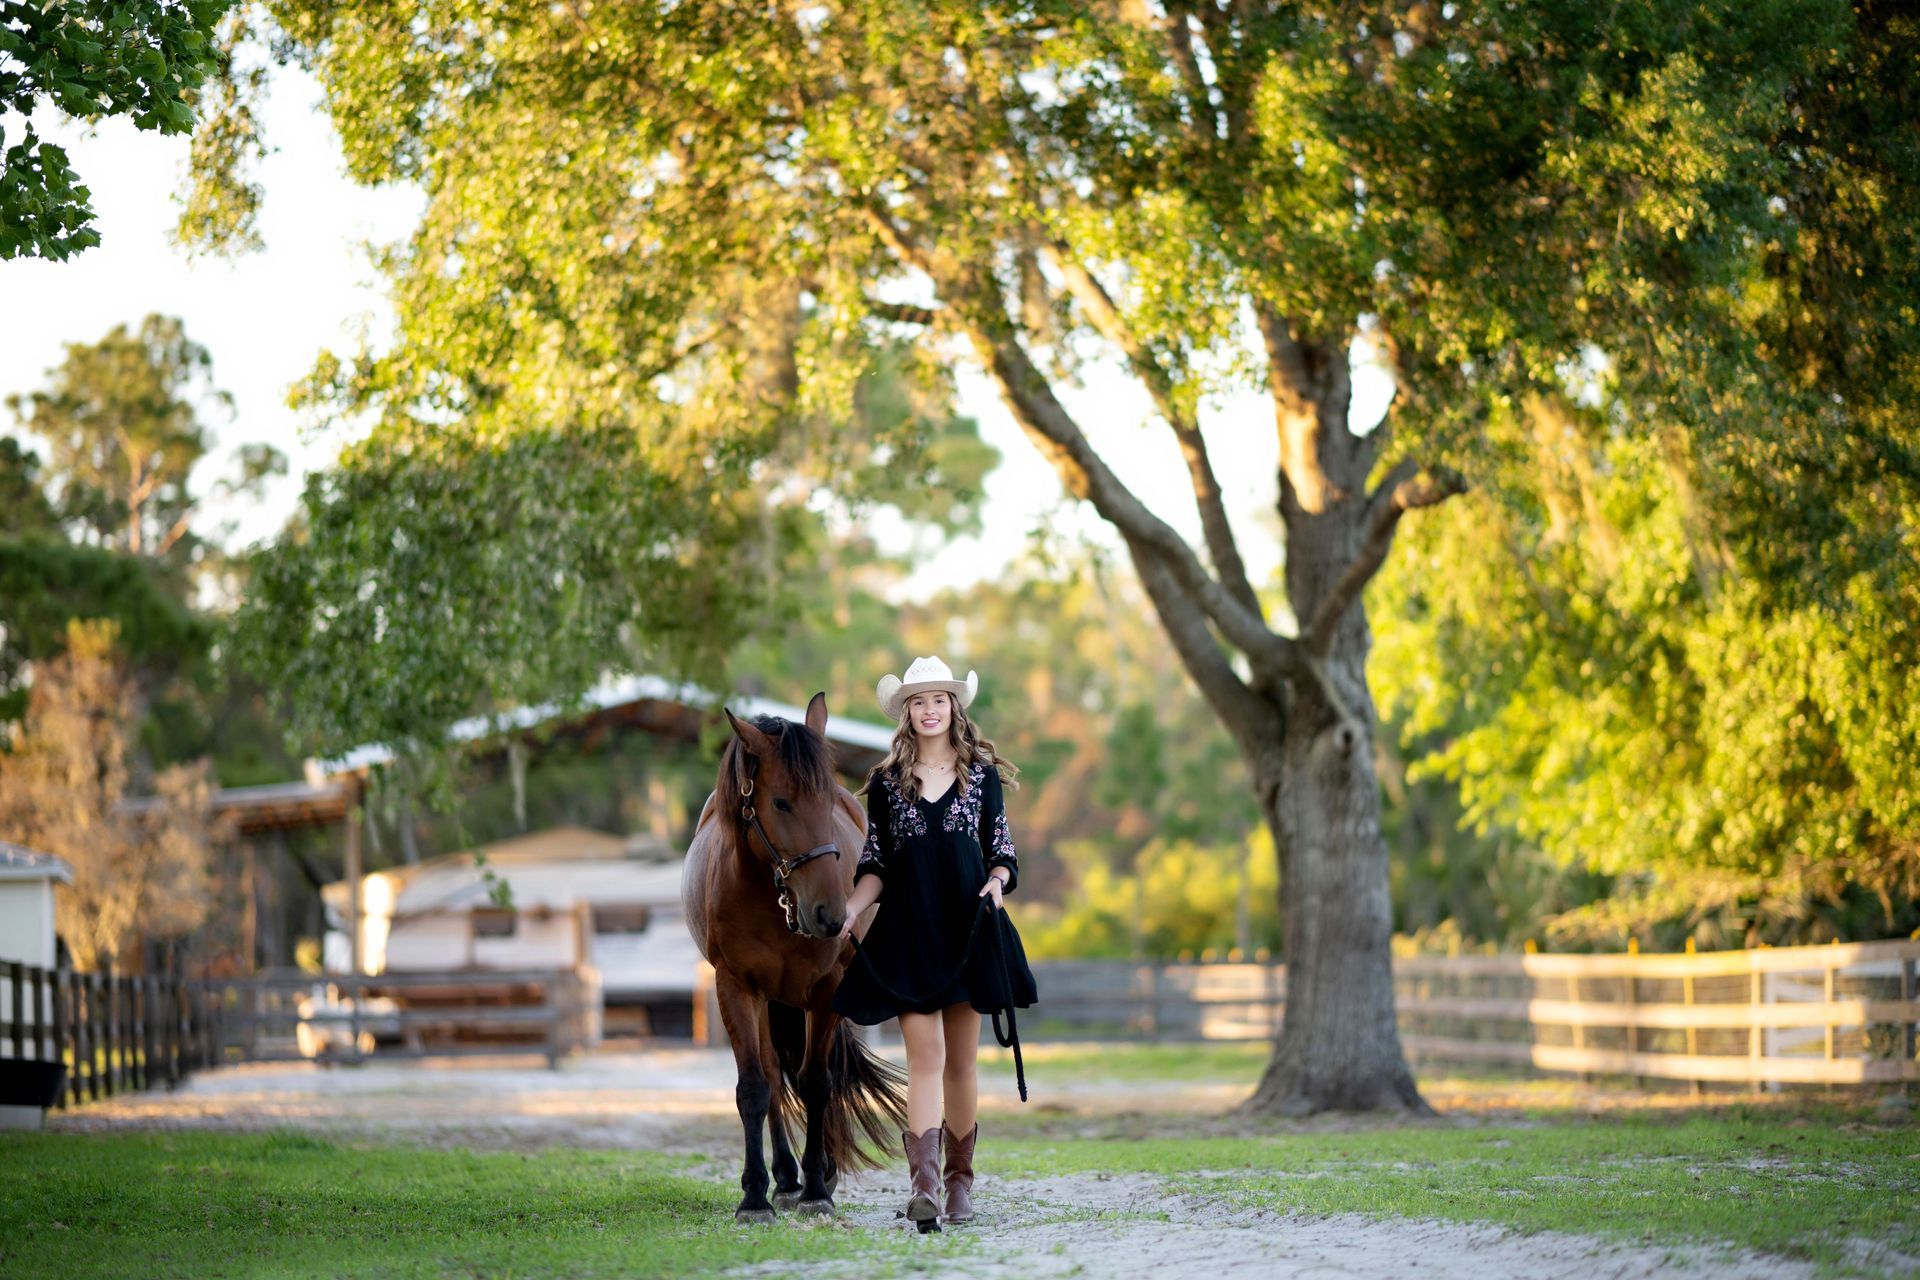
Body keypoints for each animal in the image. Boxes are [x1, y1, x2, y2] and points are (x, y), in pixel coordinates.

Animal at [680, 693, 907, 1222]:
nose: (831, 914)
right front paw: (754, 1195)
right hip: (768, 1001)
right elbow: (754, 1087)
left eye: (826, 802)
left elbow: (818, 1082)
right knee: (772, 1078)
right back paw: (784, 1178)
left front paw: (818, 1189)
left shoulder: (826, 989)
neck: (772, 898)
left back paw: (816, 1171)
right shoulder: (736, 987)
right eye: (781, 802)